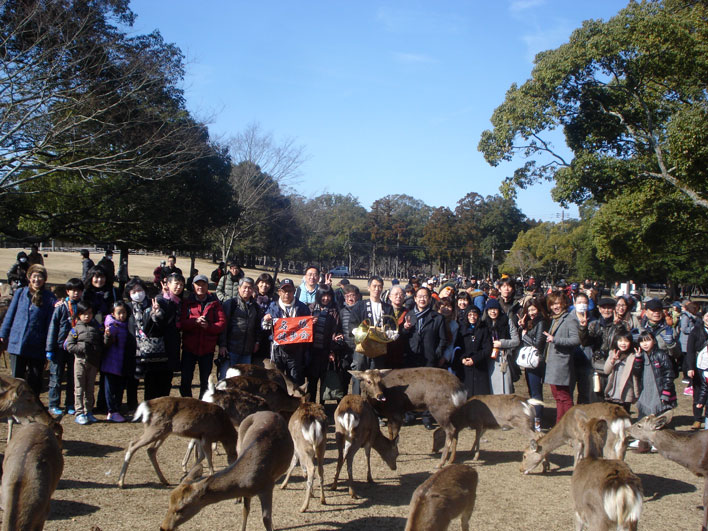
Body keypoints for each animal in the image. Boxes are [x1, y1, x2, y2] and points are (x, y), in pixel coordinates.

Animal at [160, 412, 294, 531]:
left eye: (180, 509)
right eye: (169, 503)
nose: (163, 527)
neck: (247, 483)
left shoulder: (267, 486)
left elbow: (265, 518)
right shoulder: (248, 492)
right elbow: (245, 510)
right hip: (239, 444)